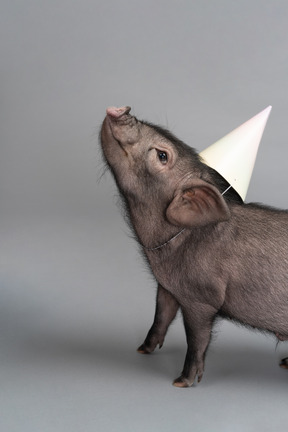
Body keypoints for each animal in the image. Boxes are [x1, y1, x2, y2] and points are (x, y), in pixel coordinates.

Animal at [99, 105, 288, 388]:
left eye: (162, 155)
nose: (120, 109)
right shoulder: (166, 286)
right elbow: (161, 316)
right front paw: (142, 350)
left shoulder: (202, 298)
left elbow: (197, 339)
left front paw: (181, 382)